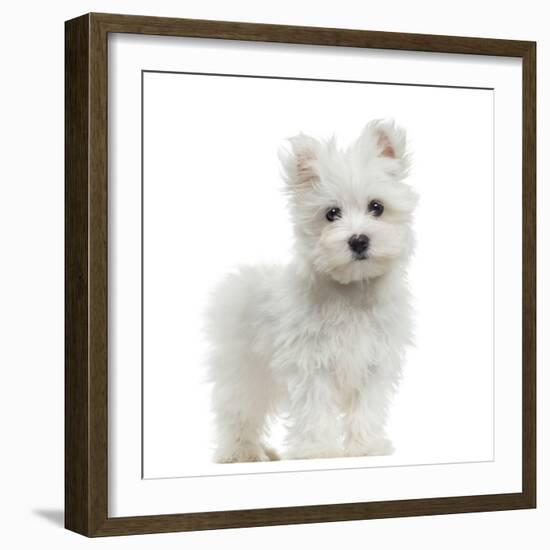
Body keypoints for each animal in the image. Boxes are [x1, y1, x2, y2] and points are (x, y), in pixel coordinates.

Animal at [206, 122, 418, 466]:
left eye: (377, 207)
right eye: (331, 214)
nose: (358, 240)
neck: (351, 291)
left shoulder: (373, 363)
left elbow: (366, 408)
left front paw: (366, 447)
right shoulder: (311, 363)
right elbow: (315, 408)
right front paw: (318, 451)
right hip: (244, 372)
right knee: (238, 412)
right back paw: (241, 453)